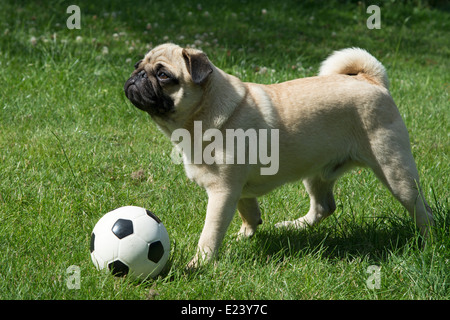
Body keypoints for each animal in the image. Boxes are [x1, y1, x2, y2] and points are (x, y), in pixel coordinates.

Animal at [125, 43, 434, 268]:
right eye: (138, 66)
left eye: (163, 75)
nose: (136, 76)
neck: (200, 116)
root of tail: (371, 80)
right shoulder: (237, 190)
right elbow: (249, 212)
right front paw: (245, 236)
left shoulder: (222, 192)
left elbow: (210, 233)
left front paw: (198, 264)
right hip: (317, 172)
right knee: (324, 207)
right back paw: (293, 226)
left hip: (395, 170)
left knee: (422, 210)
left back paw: (428, 242)